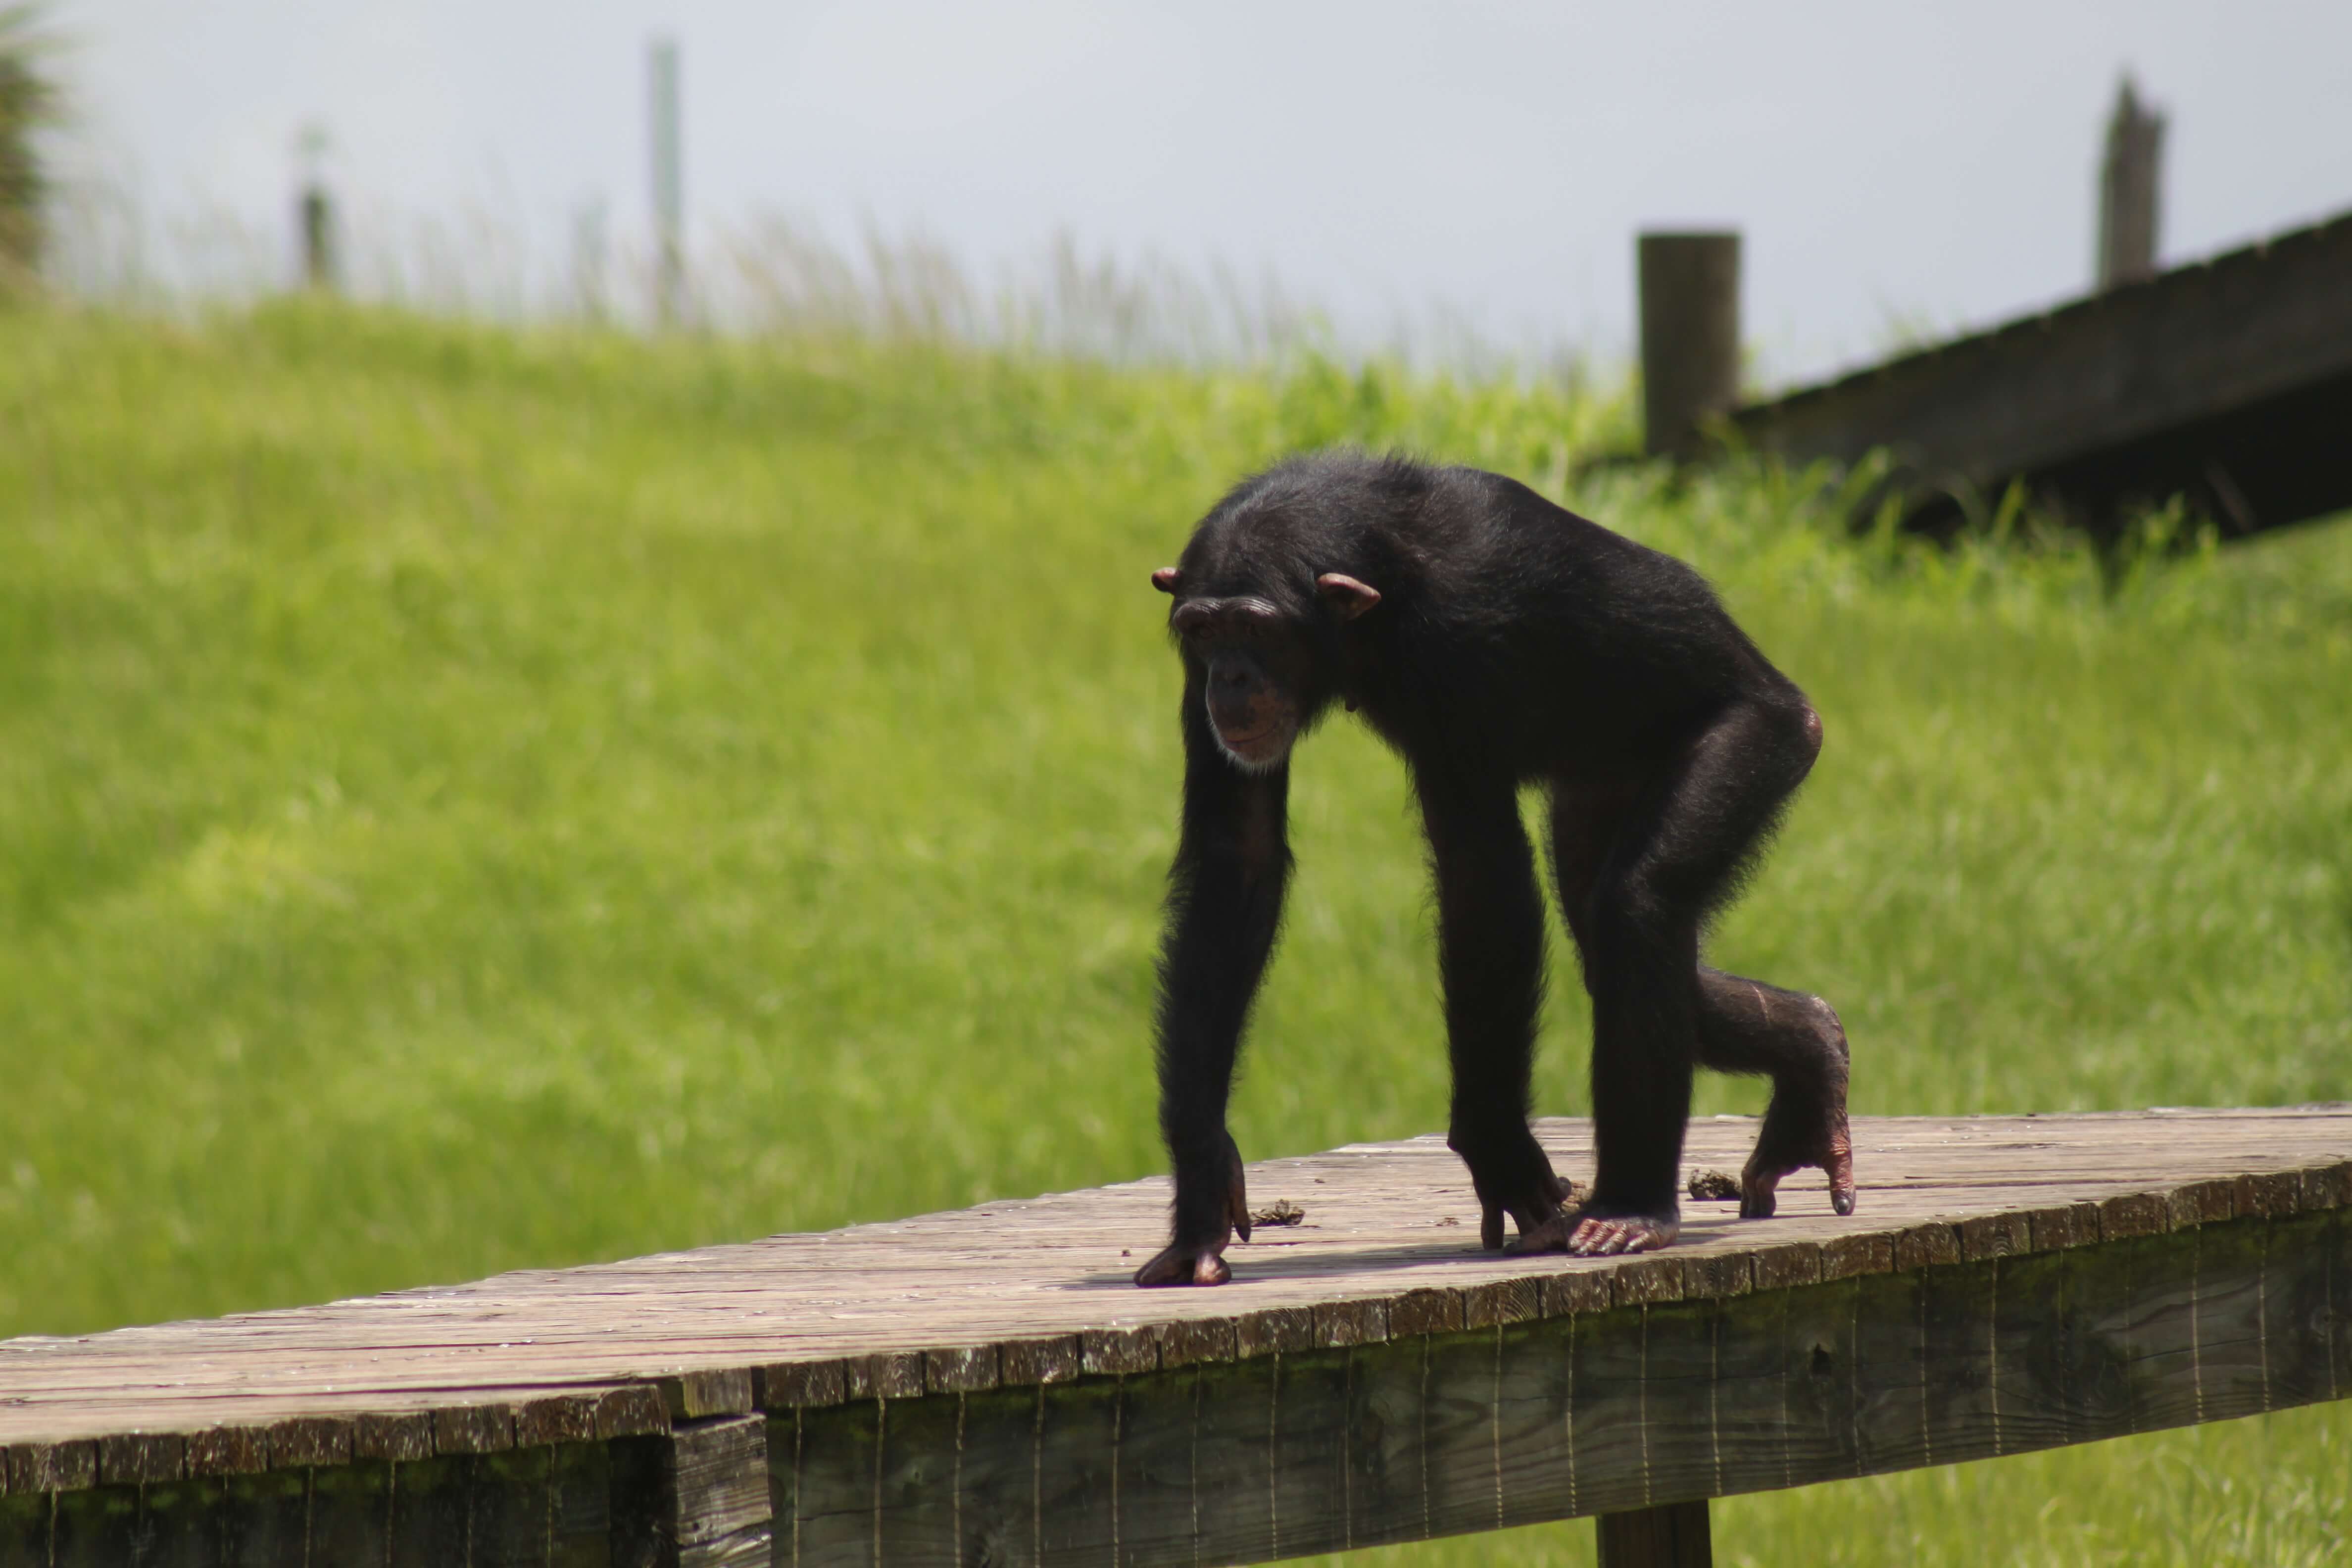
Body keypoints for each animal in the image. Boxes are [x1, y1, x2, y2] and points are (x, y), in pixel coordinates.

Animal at [1138, 453, 1853, 1288]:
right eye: (1203, 630)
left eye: (1255, 628)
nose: (1230, 679)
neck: (1372, 585)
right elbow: (1236, 859)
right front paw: (1201, 1189)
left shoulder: (1460, 650)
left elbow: (1484, 880)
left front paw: (1498, 1149)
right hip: (1603, 781)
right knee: (1609, 941)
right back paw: (1811, 1046)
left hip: (1765, 735)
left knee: (1640, 906)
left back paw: (1633, 1207)